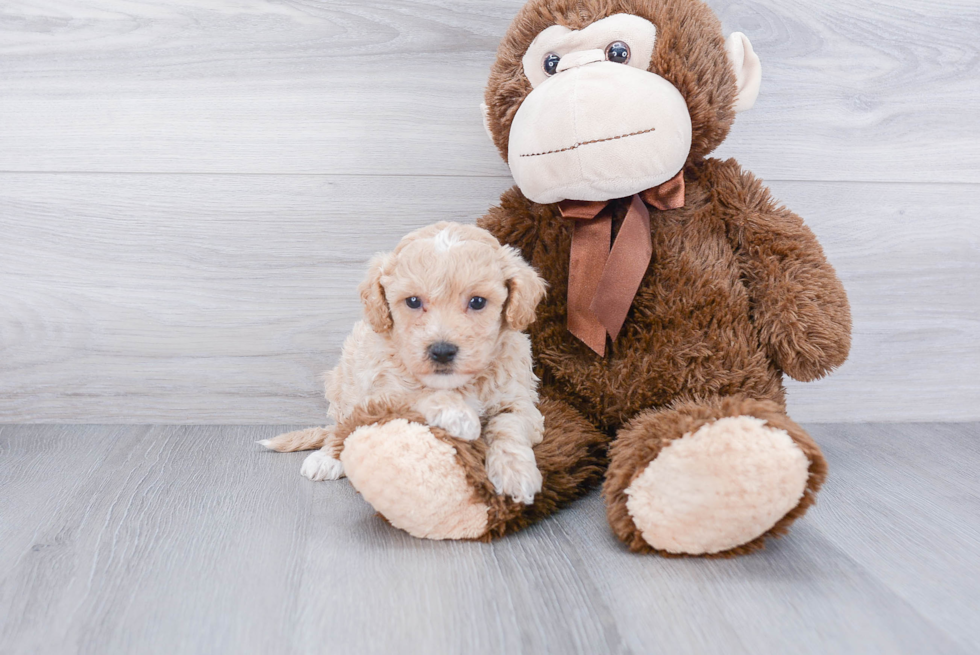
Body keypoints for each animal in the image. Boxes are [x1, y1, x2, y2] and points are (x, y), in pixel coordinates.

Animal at [258, 223, 552, 504]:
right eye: (413, 301)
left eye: (478, 302)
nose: (442, 351)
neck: (457, 385)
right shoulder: (382, 394)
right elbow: (419, 395)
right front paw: (458, 415)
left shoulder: (521, 402)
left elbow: (509, 427)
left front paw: (516, 472)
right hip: (344, 386)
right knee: (342, 427)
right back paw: (327, 458)